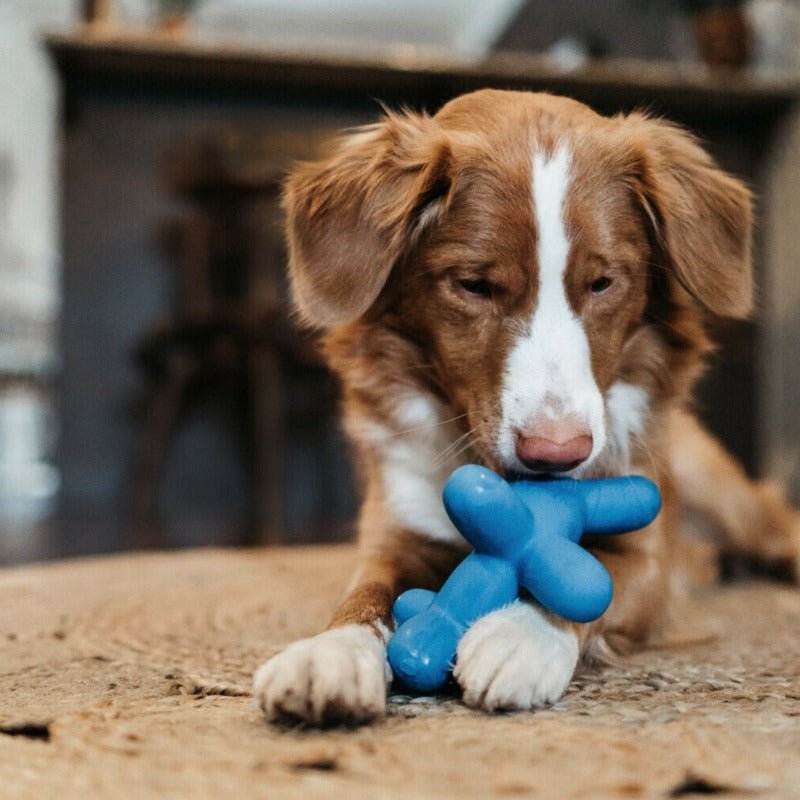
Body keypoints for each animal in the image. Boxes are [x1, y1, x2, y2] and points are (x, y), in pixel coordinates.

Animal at [252, 89, 800, 724]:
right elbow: (364, 596)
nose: (557, 454)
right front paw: (333, 652)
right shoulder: (396, 531)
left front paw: (522, 634)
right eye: (474, 284)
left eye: (603, 282)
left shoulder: (650, 560)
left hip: (719, 491)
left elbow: (595, 581)